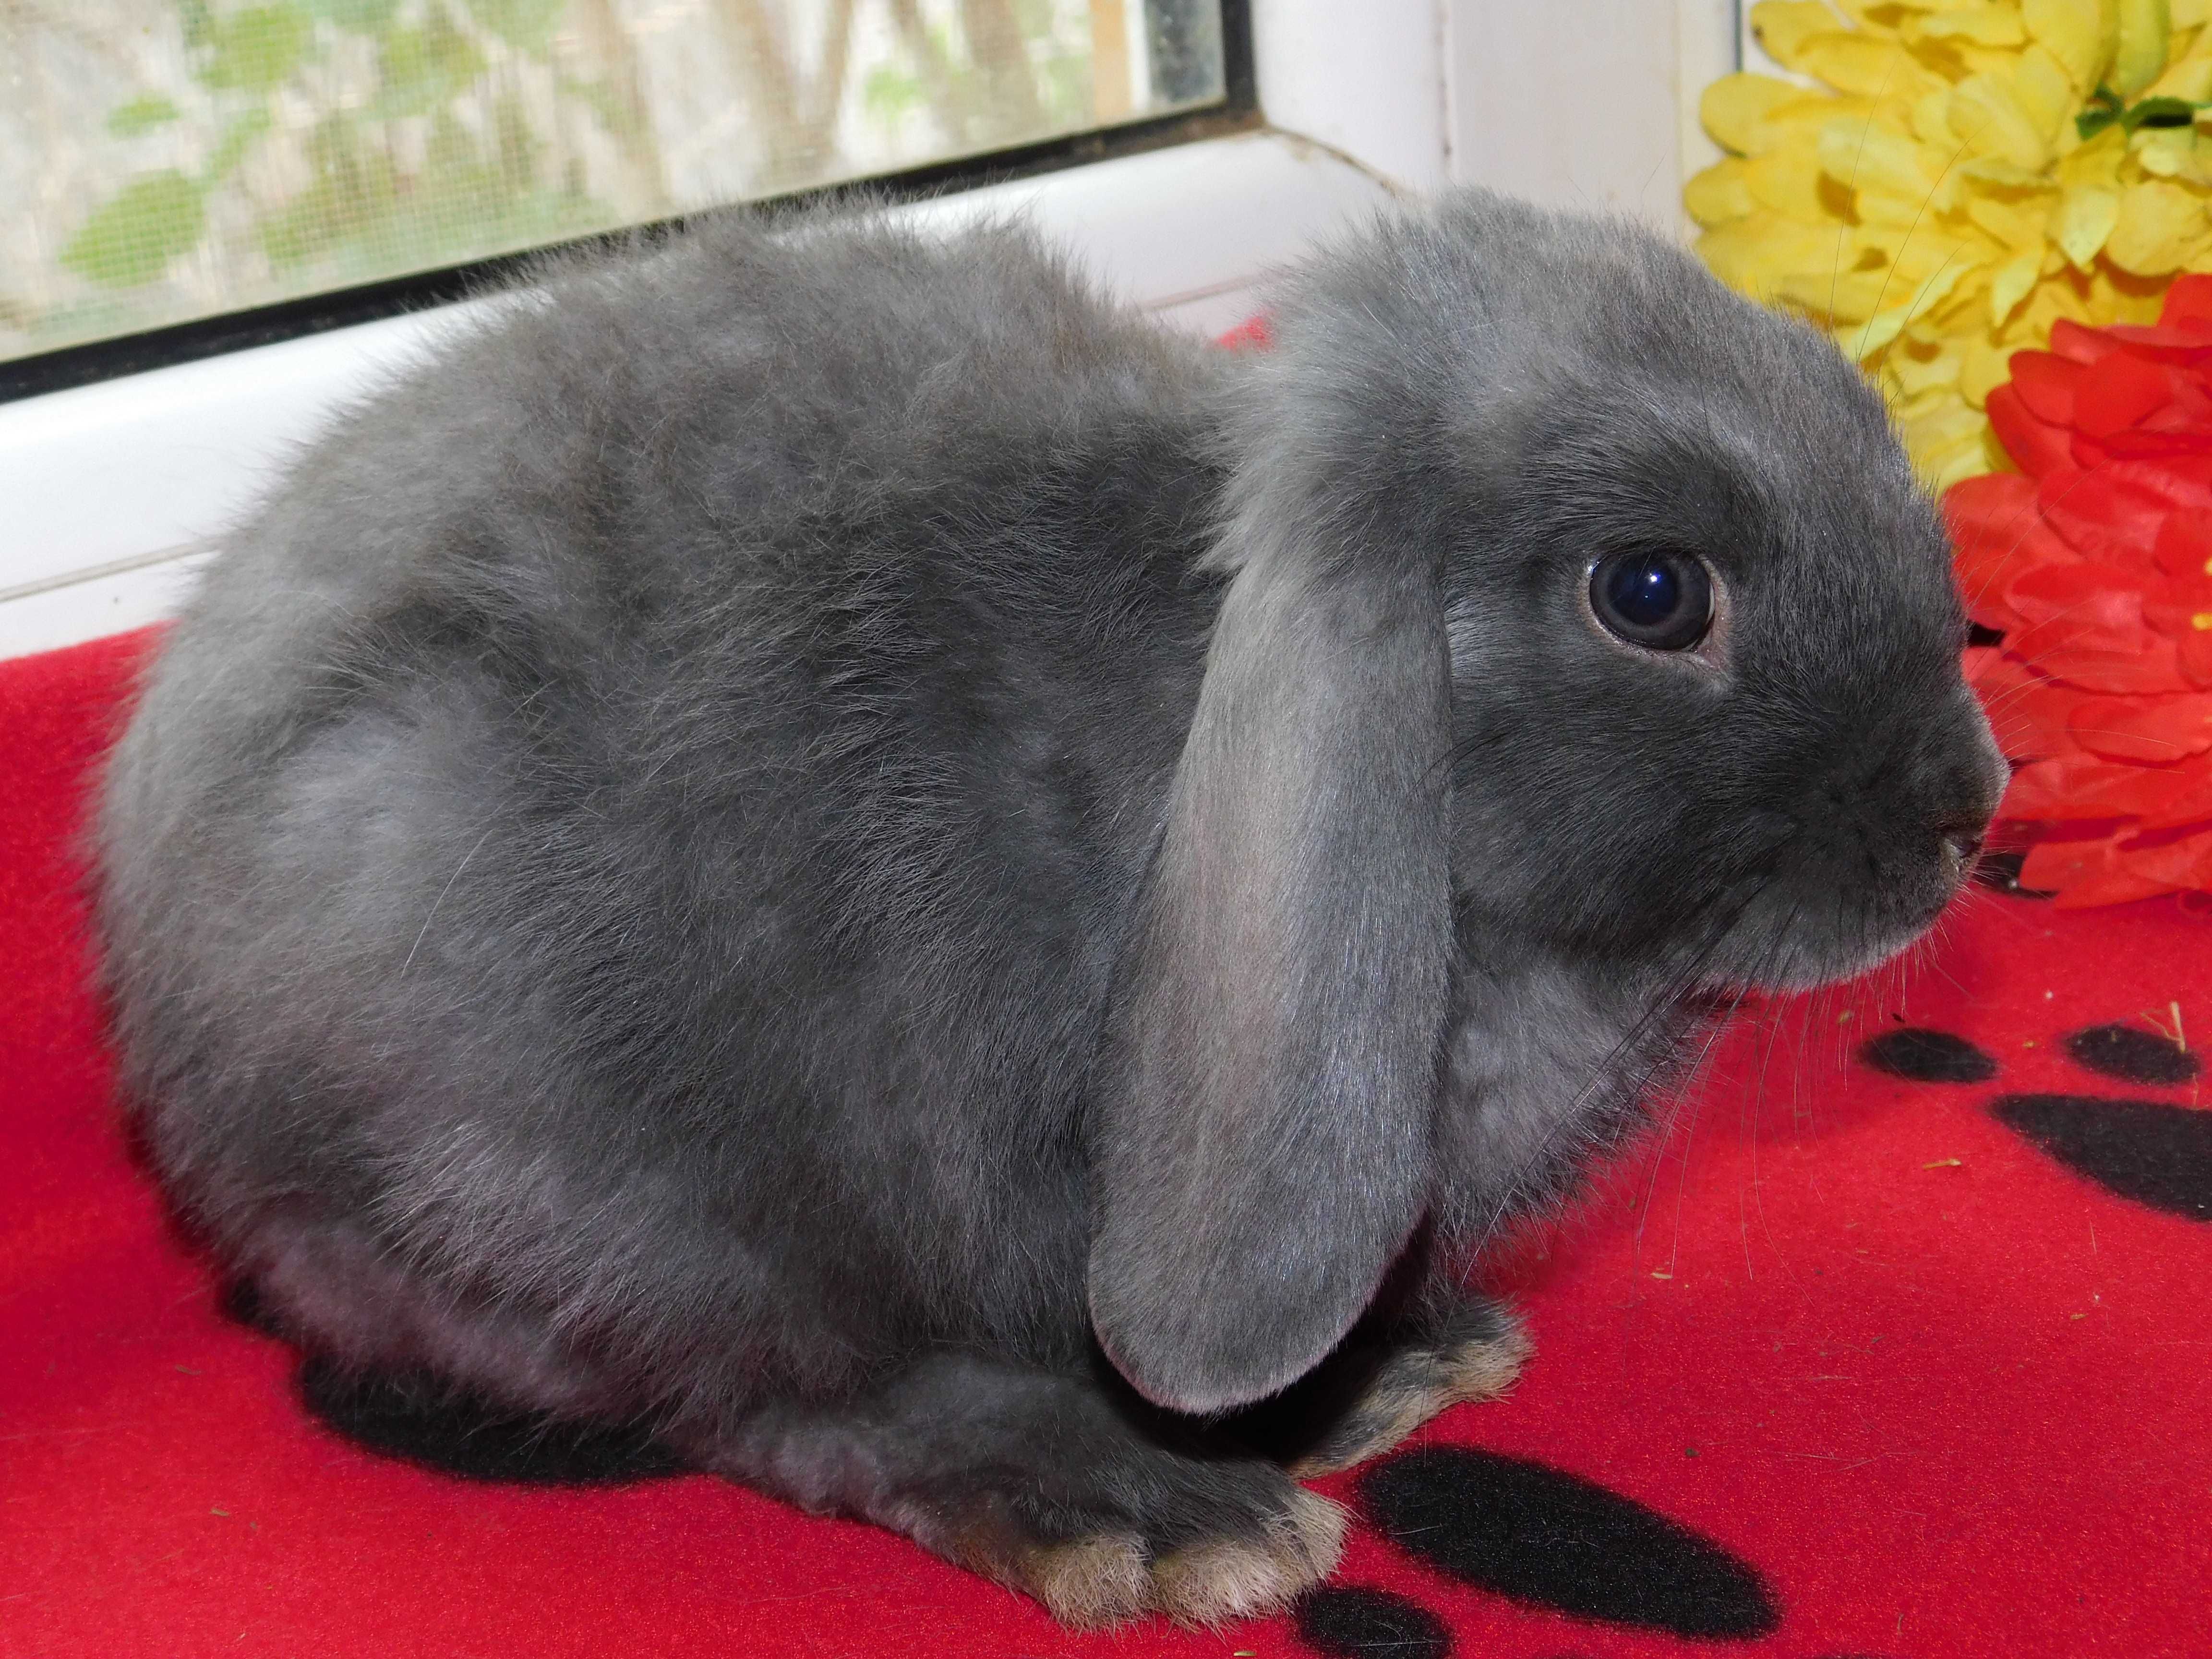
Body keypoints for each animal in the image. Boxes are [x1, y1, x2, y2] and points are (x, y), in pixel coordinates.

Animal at [90, 188, 2008, 1628]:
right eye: (1651, 591)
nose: (1959, 813)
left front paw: (1398, 1359)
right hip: (570, 1165)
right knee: (785, 1398)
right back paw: (1145, 1515)